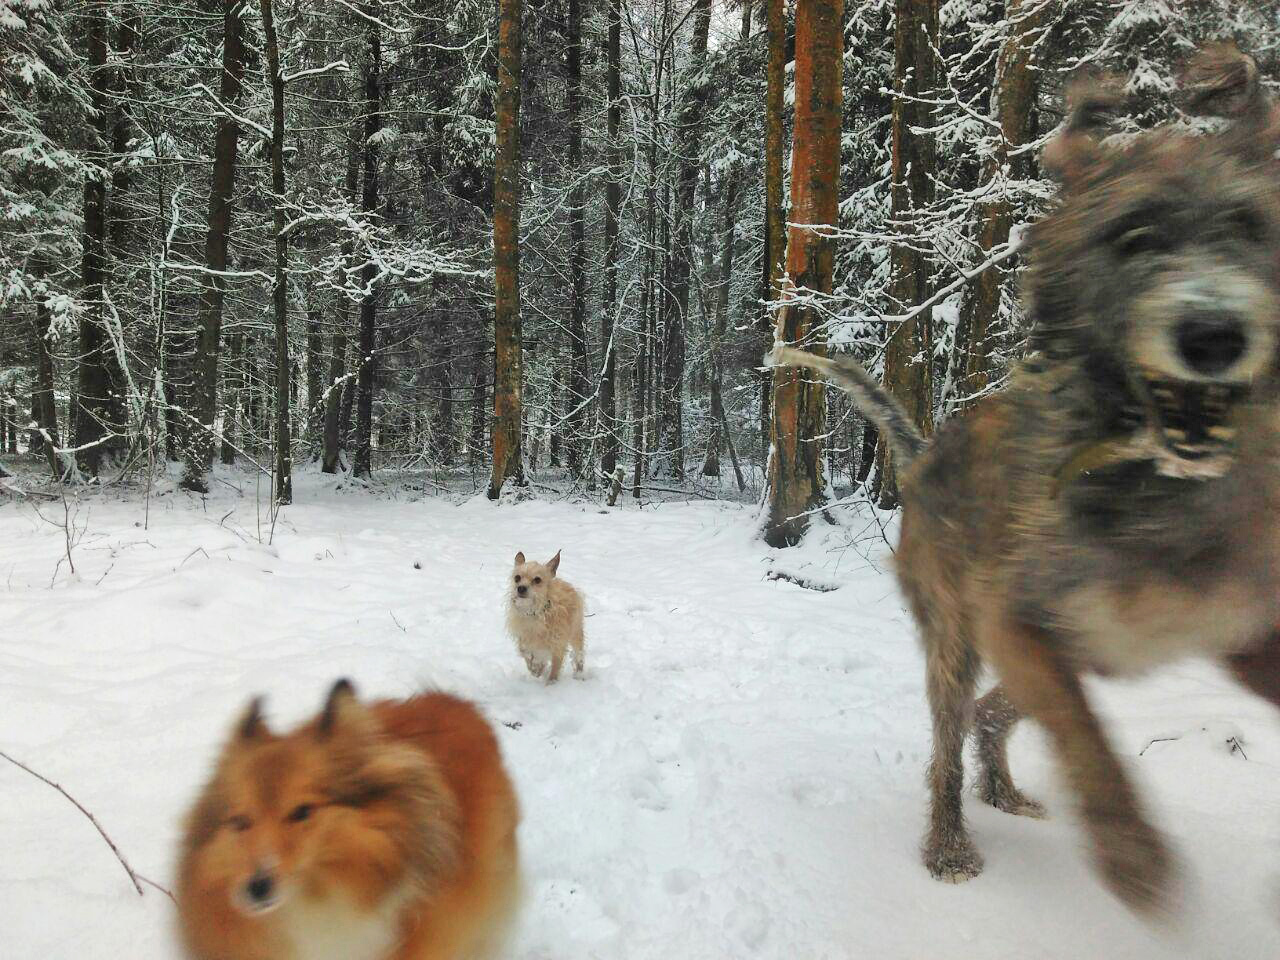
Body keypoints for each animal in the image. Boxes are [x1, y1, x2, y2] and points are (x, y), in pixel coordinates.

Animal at [504, 547, 586, 686]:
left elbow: (555, 667)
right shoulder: (526, 641)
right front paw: (536, 669)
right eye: (517, 578)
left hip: (576, 633)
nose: (520, 588)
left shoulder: (558, 645)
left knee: (578, 655)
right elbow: (528, 656)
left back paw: (580, 674)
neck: (535, 613)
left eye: (537, 580)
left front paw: (551, 684)